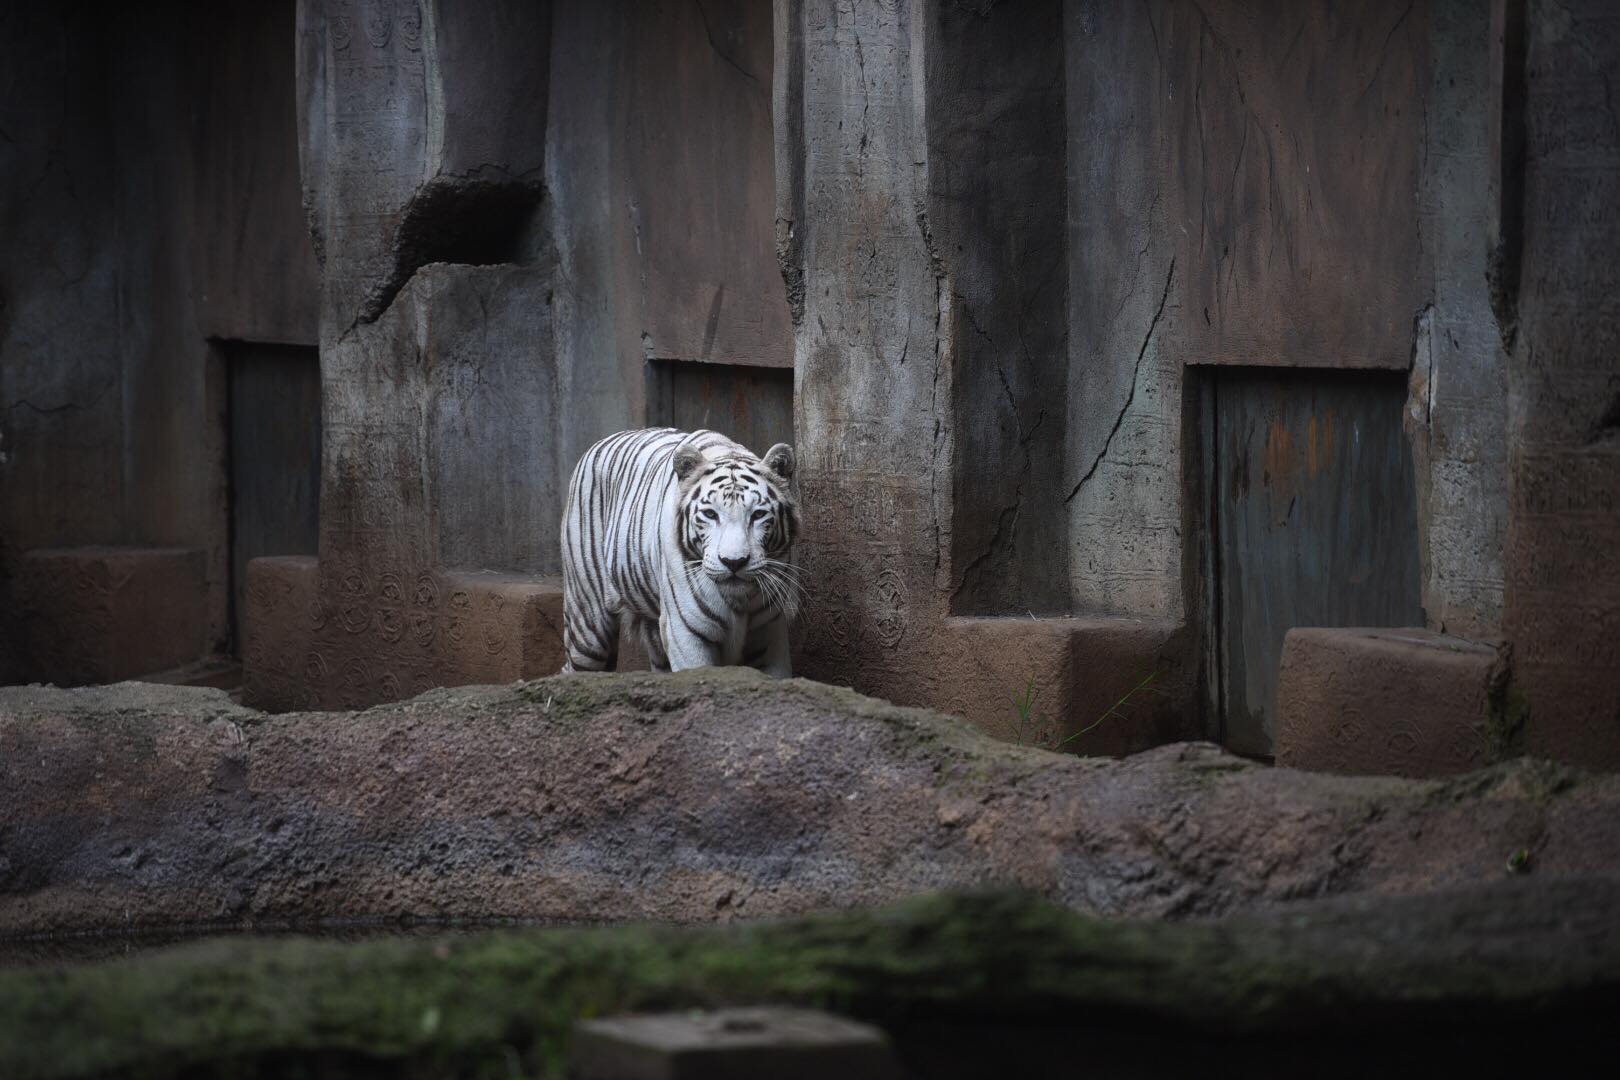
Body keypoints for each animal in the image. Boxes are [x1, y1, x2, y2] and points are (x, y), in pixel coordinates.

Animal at [563, 427, 803, 676]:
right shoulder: (686, 632)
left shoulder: (769, 632)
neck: (738, 602)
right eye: (710, 514)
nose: (734, 562)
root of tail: (603, 441)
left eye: (758, 515)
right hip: (588, 620)